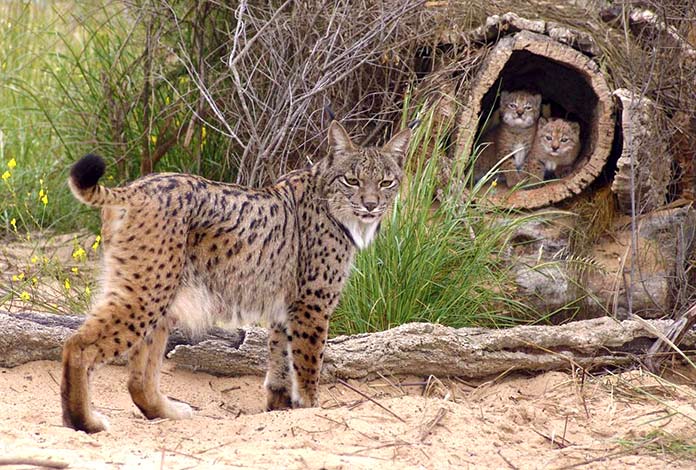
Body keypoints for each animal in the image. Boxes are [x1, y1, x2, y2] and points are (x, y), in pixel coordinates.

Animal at [62, 121, 410, 434]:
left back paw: (167, 413)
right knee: (77, 344)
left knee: (138, 379)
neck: (331, 200)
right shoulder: (312, 303)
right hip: (147, 290)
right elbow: (308, 363)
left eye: (386, 182)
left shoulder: (286, 306)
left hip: (160, 292)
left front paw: (280, 407)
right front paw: (311, 409)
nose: (371, 205)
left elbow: (280, 356)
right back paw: (83, 422)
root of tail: (135, 188)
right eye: (352, 180)